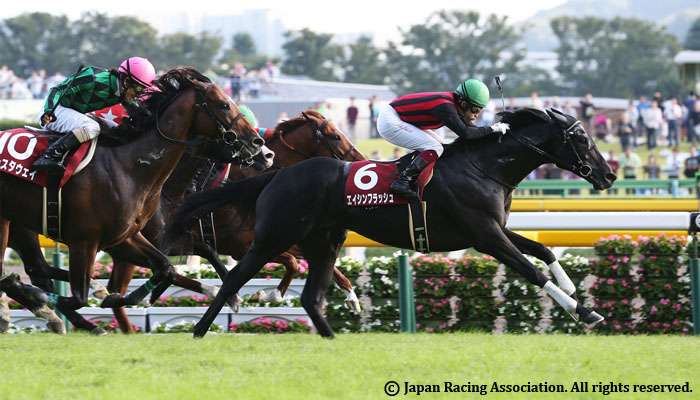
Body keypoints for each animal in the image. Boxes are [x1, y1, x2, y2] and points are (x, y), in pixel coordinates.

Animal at [0, 66, 264, 334]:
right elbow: (78, 297)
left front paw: (125, 297)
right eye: (224, 104)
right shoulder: (85, 241)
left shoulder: (127, 237)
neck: (130, 167)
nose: (259, 144)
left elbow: (167, 267)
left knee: (37, 269)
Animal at [107, 110, 365, 333]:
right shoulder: (243, 247)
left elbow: (316, 263)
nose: (360, 159)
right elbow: (292, 262)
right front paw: (266, 295)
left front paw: (352, 298)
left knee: (121, 285)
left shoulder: (277, 238)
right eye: (335, 136)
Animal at [162, 108, 617, 338]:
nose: (609, 175)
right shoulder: (485, 235)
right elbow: (531, 271)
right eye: (581, 138)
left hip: (323, 243)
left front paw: (571, 286)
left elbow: (541, 249)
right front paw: (585, 312)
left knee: (310, 295)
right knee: (234, 280)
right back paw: (201, 327)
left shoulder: (495, 229)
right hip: (270, 239)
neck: (483, 166)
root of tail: (276, 174)